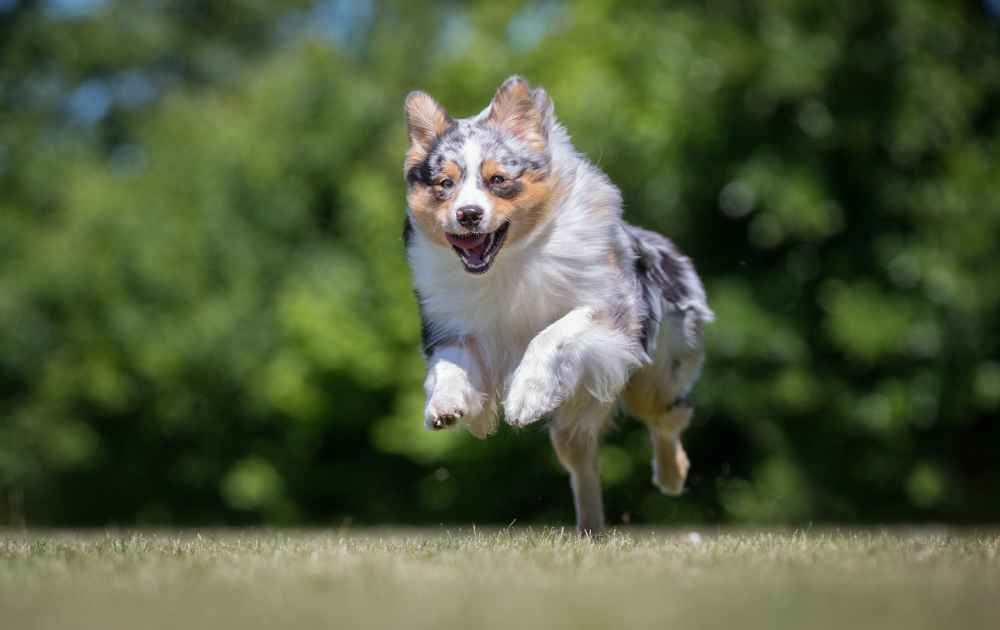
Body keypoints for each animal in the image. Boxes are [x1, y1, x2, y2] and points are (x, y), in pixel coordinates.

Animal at [398, 76, 712, 536]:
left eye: (497, 179)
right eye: (444, 184)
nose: (468, 214)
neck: (507, 262)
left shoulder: (610, 311)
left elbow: (553, 332)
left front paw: (526, 396)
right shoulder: (455, 328)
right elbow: (451, 365)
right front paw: (447, 403)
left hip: (653, 378)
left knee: (668, 418)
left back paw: (672, 476)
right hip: (574, 421)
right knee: (583, 465)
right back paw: (590, 527)